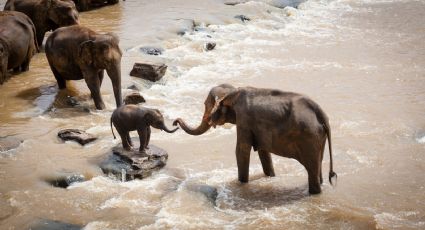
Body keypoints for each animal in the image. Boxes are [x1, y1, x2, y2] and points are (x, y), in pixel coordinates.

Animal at [174, 84, 336, 194]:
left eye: (205, 105)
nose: (175, 122)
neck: (233, 91)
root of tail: (322, 115)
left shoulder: (244, 120)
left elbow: (241, 150)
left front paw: (241, 184)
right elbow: (264, 152)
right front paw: (270, 176)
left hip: (310, 138)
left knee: (312, 169)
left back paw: (314, 193)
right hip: (318, 138)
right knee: (318, 165)